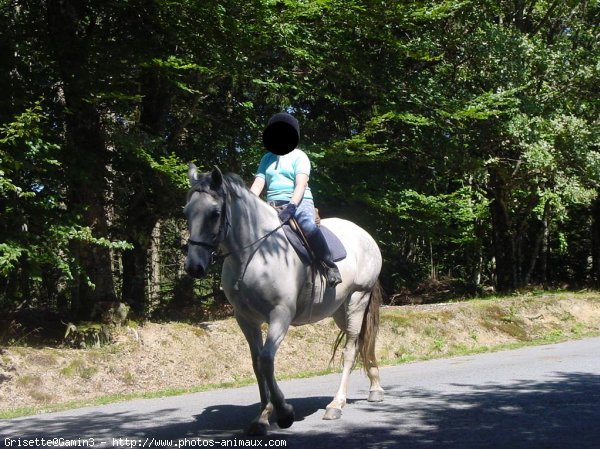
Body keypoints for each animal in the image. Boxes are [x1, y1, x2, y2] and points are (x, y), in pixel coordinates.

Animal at [183, 165, 384, 434]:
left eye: (214, 214)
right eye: (186, 212)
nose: (194, 266)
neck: (254, 254)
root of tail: (365, 235)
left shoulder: (281, 314)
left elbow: (267, 360)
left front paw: (284, 411)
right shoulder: (245, 319)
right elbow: (257, 363)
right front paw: (262, 416)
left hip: (357, 299)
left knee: (350, 349)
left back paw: (336, 404)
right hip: (339, 310)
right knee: (363, 343)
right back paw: (375, 388)